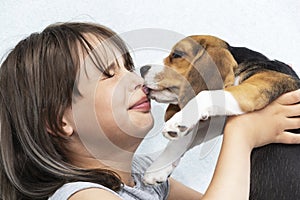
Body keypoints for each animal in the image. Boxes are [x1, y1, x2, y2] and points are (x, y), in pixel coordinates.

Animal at [141, 35, 300, 199]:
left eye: (177, 54)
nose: (142, 69)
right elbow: (183, 139)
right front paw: (158, 169)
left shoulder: (255, 89)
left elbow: (205, 94)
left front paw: (177, 122)